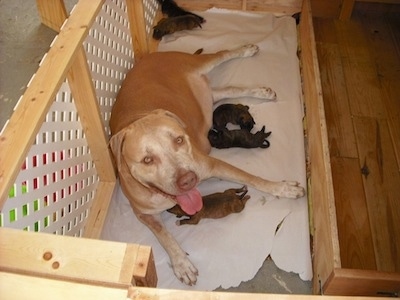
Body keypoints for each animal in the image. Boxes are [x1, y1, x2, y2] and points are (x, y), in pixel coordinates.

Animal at [108, 44, 304, 286]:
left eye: (179, 140)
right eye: (147, 159)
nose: (188, 180)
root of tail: (147, 58)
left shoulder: (213, 165)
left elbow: (253, 178)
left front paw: (283, 188)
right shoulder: (143, 214)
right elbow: (163, 236)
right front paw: (181, 262)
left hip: (197, 64)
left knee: (222, 54)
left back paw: (247, 51)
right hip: (206, 94)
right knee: (225, 90)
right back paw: (260, 92)